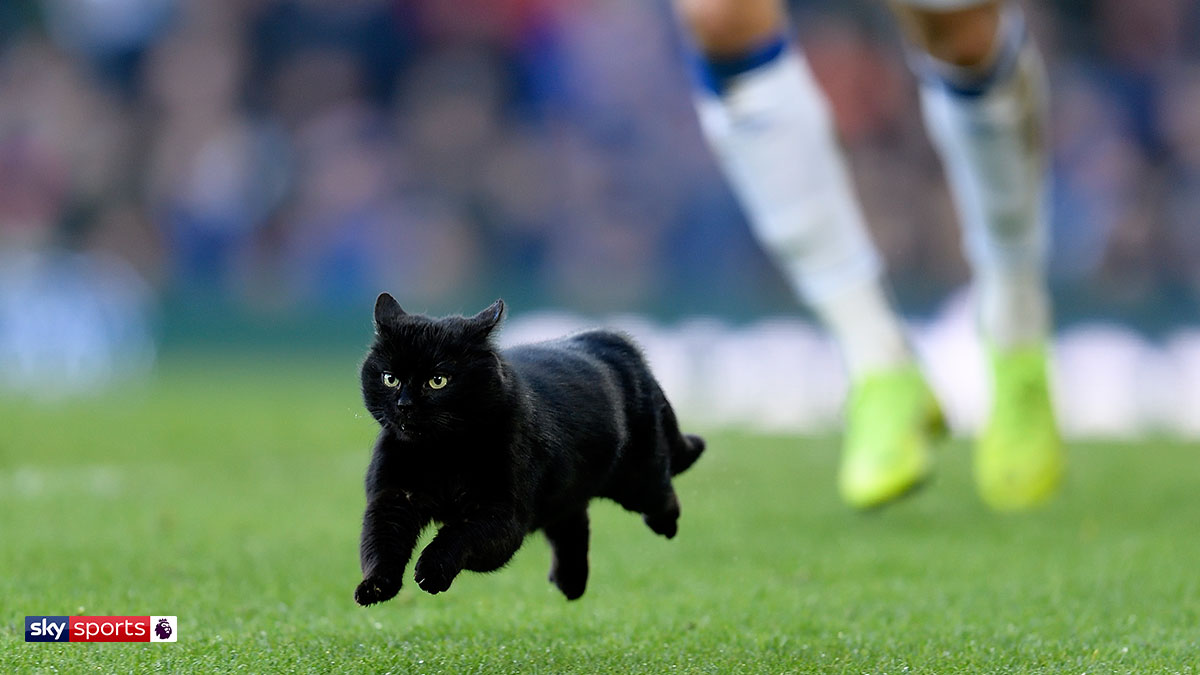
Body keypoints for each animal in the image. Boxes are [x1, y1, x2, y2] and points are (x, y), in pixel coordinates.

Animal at [350, 291, 700, 600]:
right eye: (389, 378)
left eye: (438, 380)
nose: (404, 405)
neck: (441, 454)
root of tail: (616, 341)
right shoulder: (393, 498)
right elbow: (380, 542)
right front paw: (375, 587)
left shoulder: (501, 514)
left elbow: (457, 533)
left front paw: (432, 571)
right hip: (569, 491)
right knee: (573, 525)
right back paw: (570, 583)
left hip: (638, 478)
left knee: (662, 494)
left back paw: (666, 525)